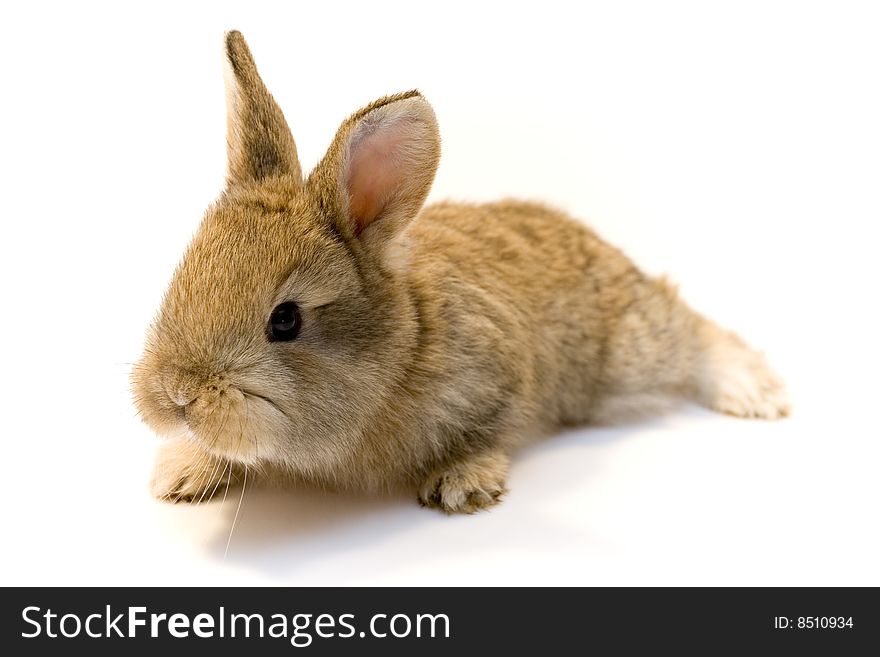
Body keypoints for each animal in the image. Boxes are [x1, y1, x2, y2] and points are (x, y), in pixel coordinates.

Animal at [132, 30, 792, 512]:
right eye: (181, 277)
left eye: (286, 321)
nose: (177, 394)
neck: (399, 350)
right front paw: (181, 475)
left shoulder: (498, 377)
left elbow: (493, 430)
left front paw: (462, 484)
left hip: (628, 356)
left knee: (693, 329)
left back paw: (756, 394)